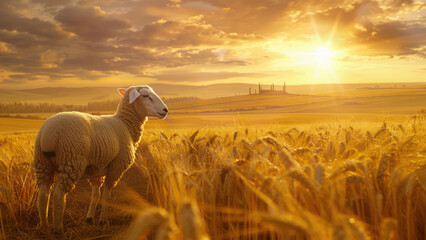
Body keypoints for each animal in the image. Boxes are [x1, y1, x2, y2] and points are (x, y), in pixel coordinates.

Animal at [32, 85, 168, 233]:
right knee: (58, 194)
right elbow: (106, 194)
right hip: (71, 162)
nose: (165, 110)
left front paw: (90, 218)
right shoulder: (116, 167)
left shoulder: (98, 168)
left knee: (43, 194)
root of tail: (48, 135)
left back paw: (43, 225)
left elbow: (96, 194)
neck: (125, 124)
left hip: (42, 164)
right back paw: (58, 229)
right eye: (145, 96)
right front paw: (103, 220)